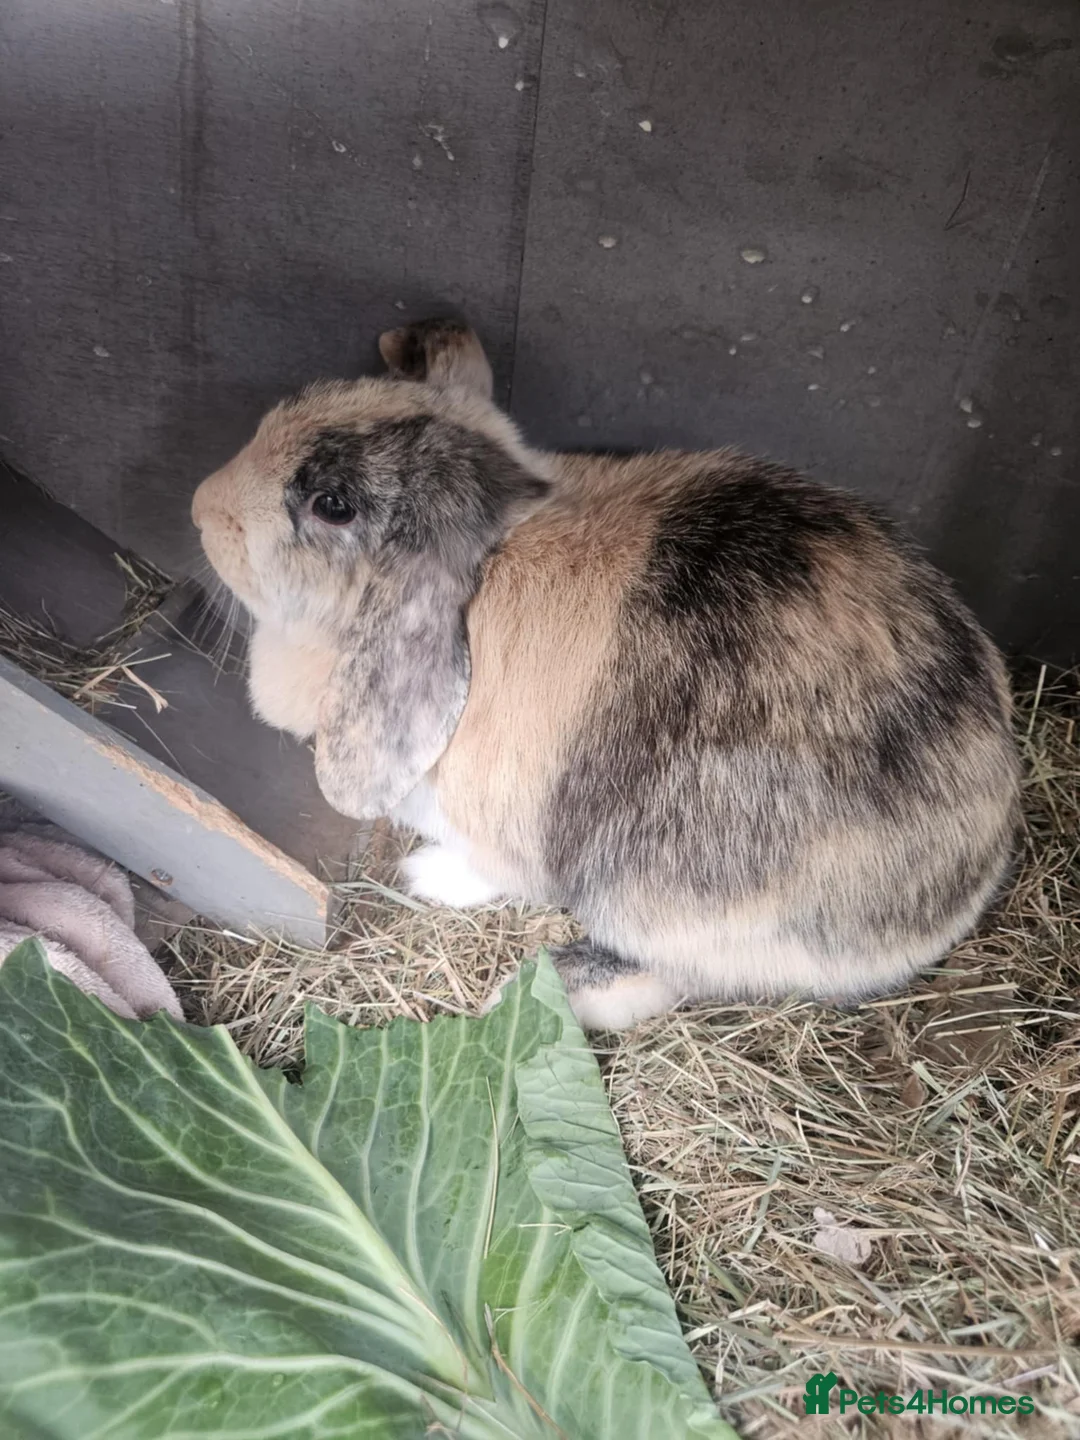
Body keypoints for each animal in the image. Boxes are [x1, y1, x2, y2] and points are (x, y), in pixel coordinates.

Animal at [191, 318, 1020, 1030]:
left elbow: (491, 872)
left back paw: (529, 990)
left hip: (661, 905)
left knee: (679, 975)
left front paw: (428, 878)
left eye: (331, 505)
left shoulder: (497, 830)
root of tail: (966, 889)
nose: (199, 506)